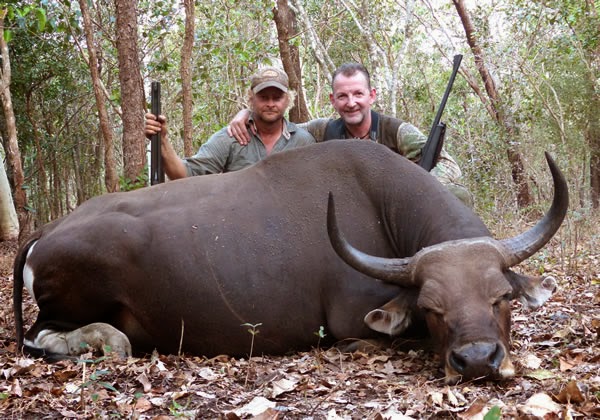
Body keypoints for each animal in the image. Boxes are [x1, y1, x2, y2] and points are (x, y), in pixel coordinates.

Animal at [14, 141, 568, 384]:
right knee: (48, 337)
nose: (477, 361)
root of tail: (49, 230)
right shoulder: (351, 325)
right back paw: (107, 341)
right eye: (431, 308)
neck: (383, 207)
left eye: (502, 297)